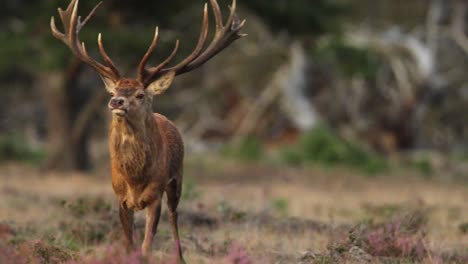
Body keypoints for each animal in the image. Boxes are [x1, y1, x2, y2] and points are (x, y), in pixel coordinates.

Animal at [51, 0, 247, 260]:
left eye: (140, 94)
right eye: (114, 91)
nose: (116, 102)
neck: (135, 178)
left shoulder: (155, 196)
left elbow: (146, 245)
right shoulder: (121, 198)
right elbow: (129, 245)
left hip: (177, 180)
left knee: (175, 217)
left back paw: (180, 257)